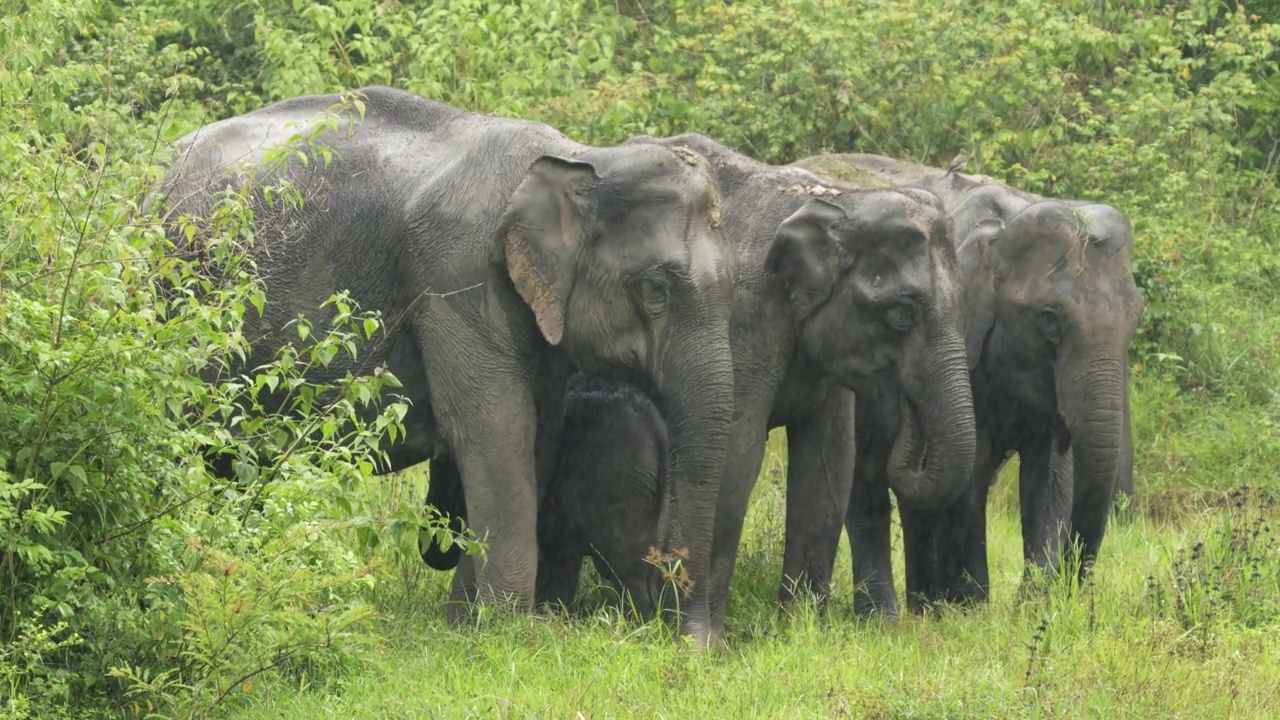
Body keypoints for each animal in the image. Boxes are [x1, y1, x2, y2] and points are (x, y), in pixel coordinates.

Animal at [156, 83, 742, 638]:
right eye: (655, 289)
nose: (697, 645)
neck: (577, 157)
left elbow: (537, 436)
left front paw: (465, 625)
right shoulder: (455, 275)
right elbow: (494, 429)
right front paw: (505, 631)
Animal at [793, 151, 1146, 609]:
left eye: (1135, 317)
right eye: (1049, 319)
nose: (1070, 588)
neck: (1006, 224)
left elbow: (1050, 479)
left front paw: (1032, 606)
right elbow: (970, 475)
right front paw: (973, 606)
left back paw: (924, 605)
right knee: (868, 490)